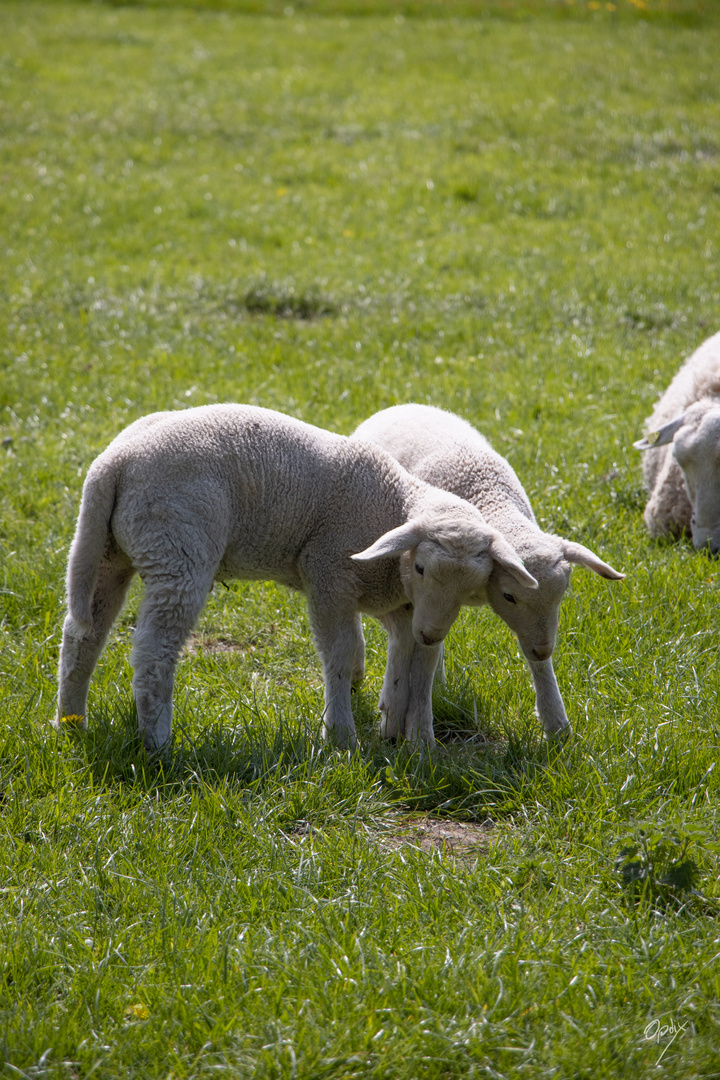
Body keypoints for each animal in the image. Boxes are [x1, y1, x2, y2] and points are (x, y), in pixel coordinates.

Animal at [57, 403, 539, 751]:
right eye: (421, 567)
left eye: (471, 590)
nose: (432, 631)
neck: (392, 504)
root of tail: (112, 464)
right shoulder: (328, 574)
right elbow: (340, 655)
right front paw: (341, 736)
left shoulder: (402, 606)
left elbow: (414, 670)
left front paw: (417, 742)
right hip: (177, 550)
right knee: (154, 653)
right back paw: (157, 743)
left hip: (110, 551)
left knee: (83, 635)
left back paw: (72, 723)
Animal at [354, 406, 626, 743]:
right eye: (509, 596)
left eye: (562, 595)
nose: (543, 650)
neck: (493, 501)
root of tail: (402, 406)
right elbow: (425, 651)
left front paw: (556, 723)